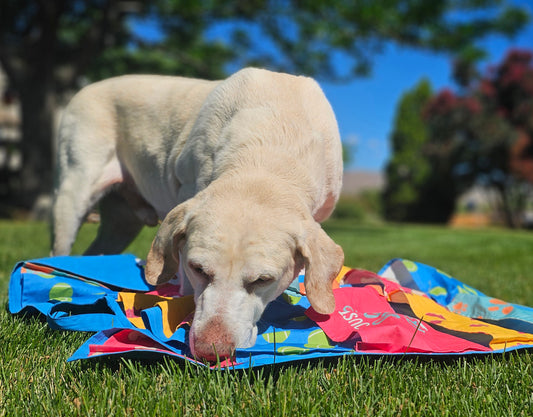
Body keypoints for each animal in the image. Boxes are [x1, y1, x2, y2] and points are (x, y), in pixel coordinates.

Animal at [52, 66, 342, 360]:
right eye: (198, 268)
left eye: (263, 280)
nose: (210, 351)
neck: (267, 155)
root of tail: (87, 88)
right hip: (75, 190)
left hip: (121, 224)